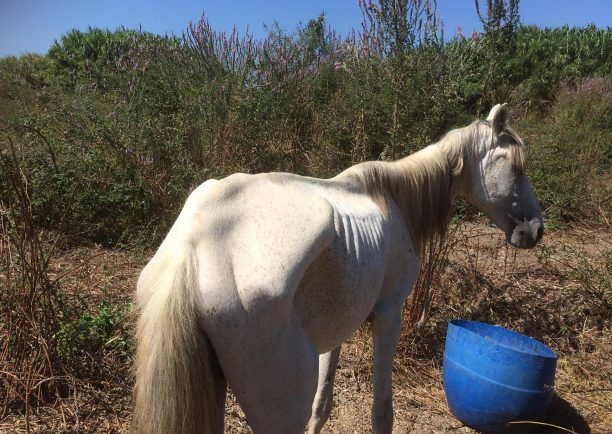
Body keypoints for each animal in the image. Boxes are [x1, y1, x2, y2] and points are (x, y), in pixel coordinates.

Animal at [131, 105, 544, 434]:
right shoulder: (389, 314)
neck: (394, 199)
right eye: (516, 166)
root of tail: (194, 246)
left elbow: (323, 405)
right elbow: (381, 413)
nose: (535, 230)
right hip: (282, 405)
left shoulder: (337, 328)